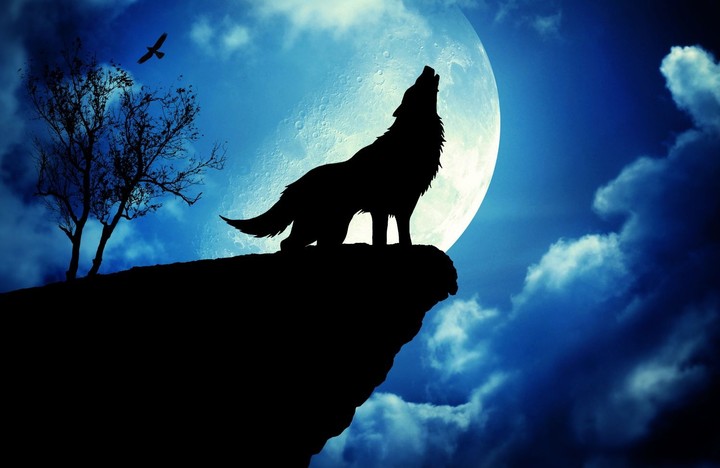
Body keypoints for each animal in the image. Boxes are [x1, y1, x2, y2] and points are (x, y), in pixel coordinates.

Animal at [221, 65, 445, 251]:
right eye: (414, 86)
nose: (427, 67)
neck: (408, 141)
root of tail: (294, 185)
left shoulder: (405, 205)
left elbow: (404, 235)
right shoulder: (380, 207)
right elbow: (379, 238)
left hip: (334, 228)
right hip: (317, 225)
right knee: (287, 244)